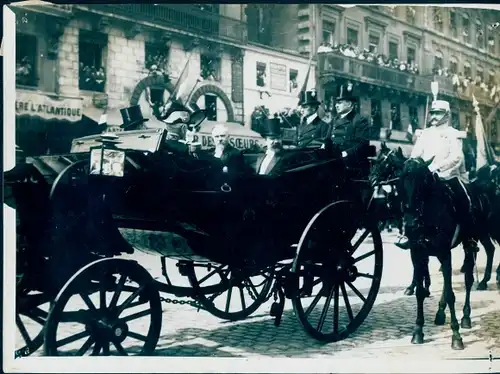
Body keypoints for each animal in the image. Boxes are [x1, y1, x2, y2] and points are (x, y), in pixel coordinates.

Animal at [372, 143, 500, 292]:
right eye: (402, 180)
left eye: (383, 161)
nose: (371, 179)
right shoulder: (415, 242)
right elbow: (418, 263)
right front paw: (415, 286)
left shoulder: (440, 243)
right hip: (481, 232)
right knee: (488, 249)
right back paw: (482, 279)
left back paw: (488, 278)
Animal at [398, 156, 476, 350]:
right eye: (400, 183)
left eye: (421, 184)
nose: (410, 223)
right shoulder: (417, 254)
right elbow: (420, 292)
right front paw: (418, 331)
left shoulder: (444, 252)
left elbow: (450, 294)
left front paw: (456, 336)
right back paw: (440, 314)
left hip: (469, 245)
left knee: (468, 279)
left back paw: (466, 317)